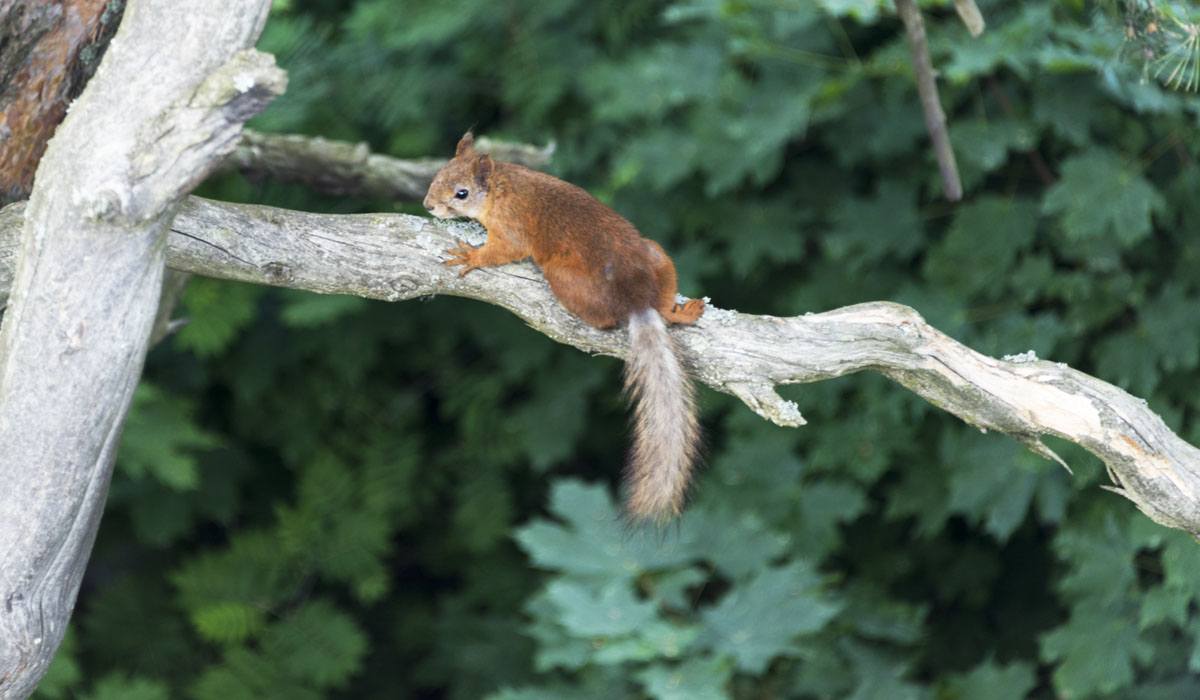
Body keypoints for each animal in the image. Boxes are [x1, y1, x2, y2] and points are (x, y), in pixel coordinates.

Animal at [424, 134, 705, 523]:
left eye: (461, 193)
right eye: (438, 173)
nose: (428, 205)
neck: (503, 186)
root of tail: (635, 301)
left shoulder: (510, 230)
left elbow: (501, 252)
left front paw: (471, 256)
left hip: (562, 279)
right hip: (657, 254)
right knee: (664, 302)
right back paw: (681, 313)